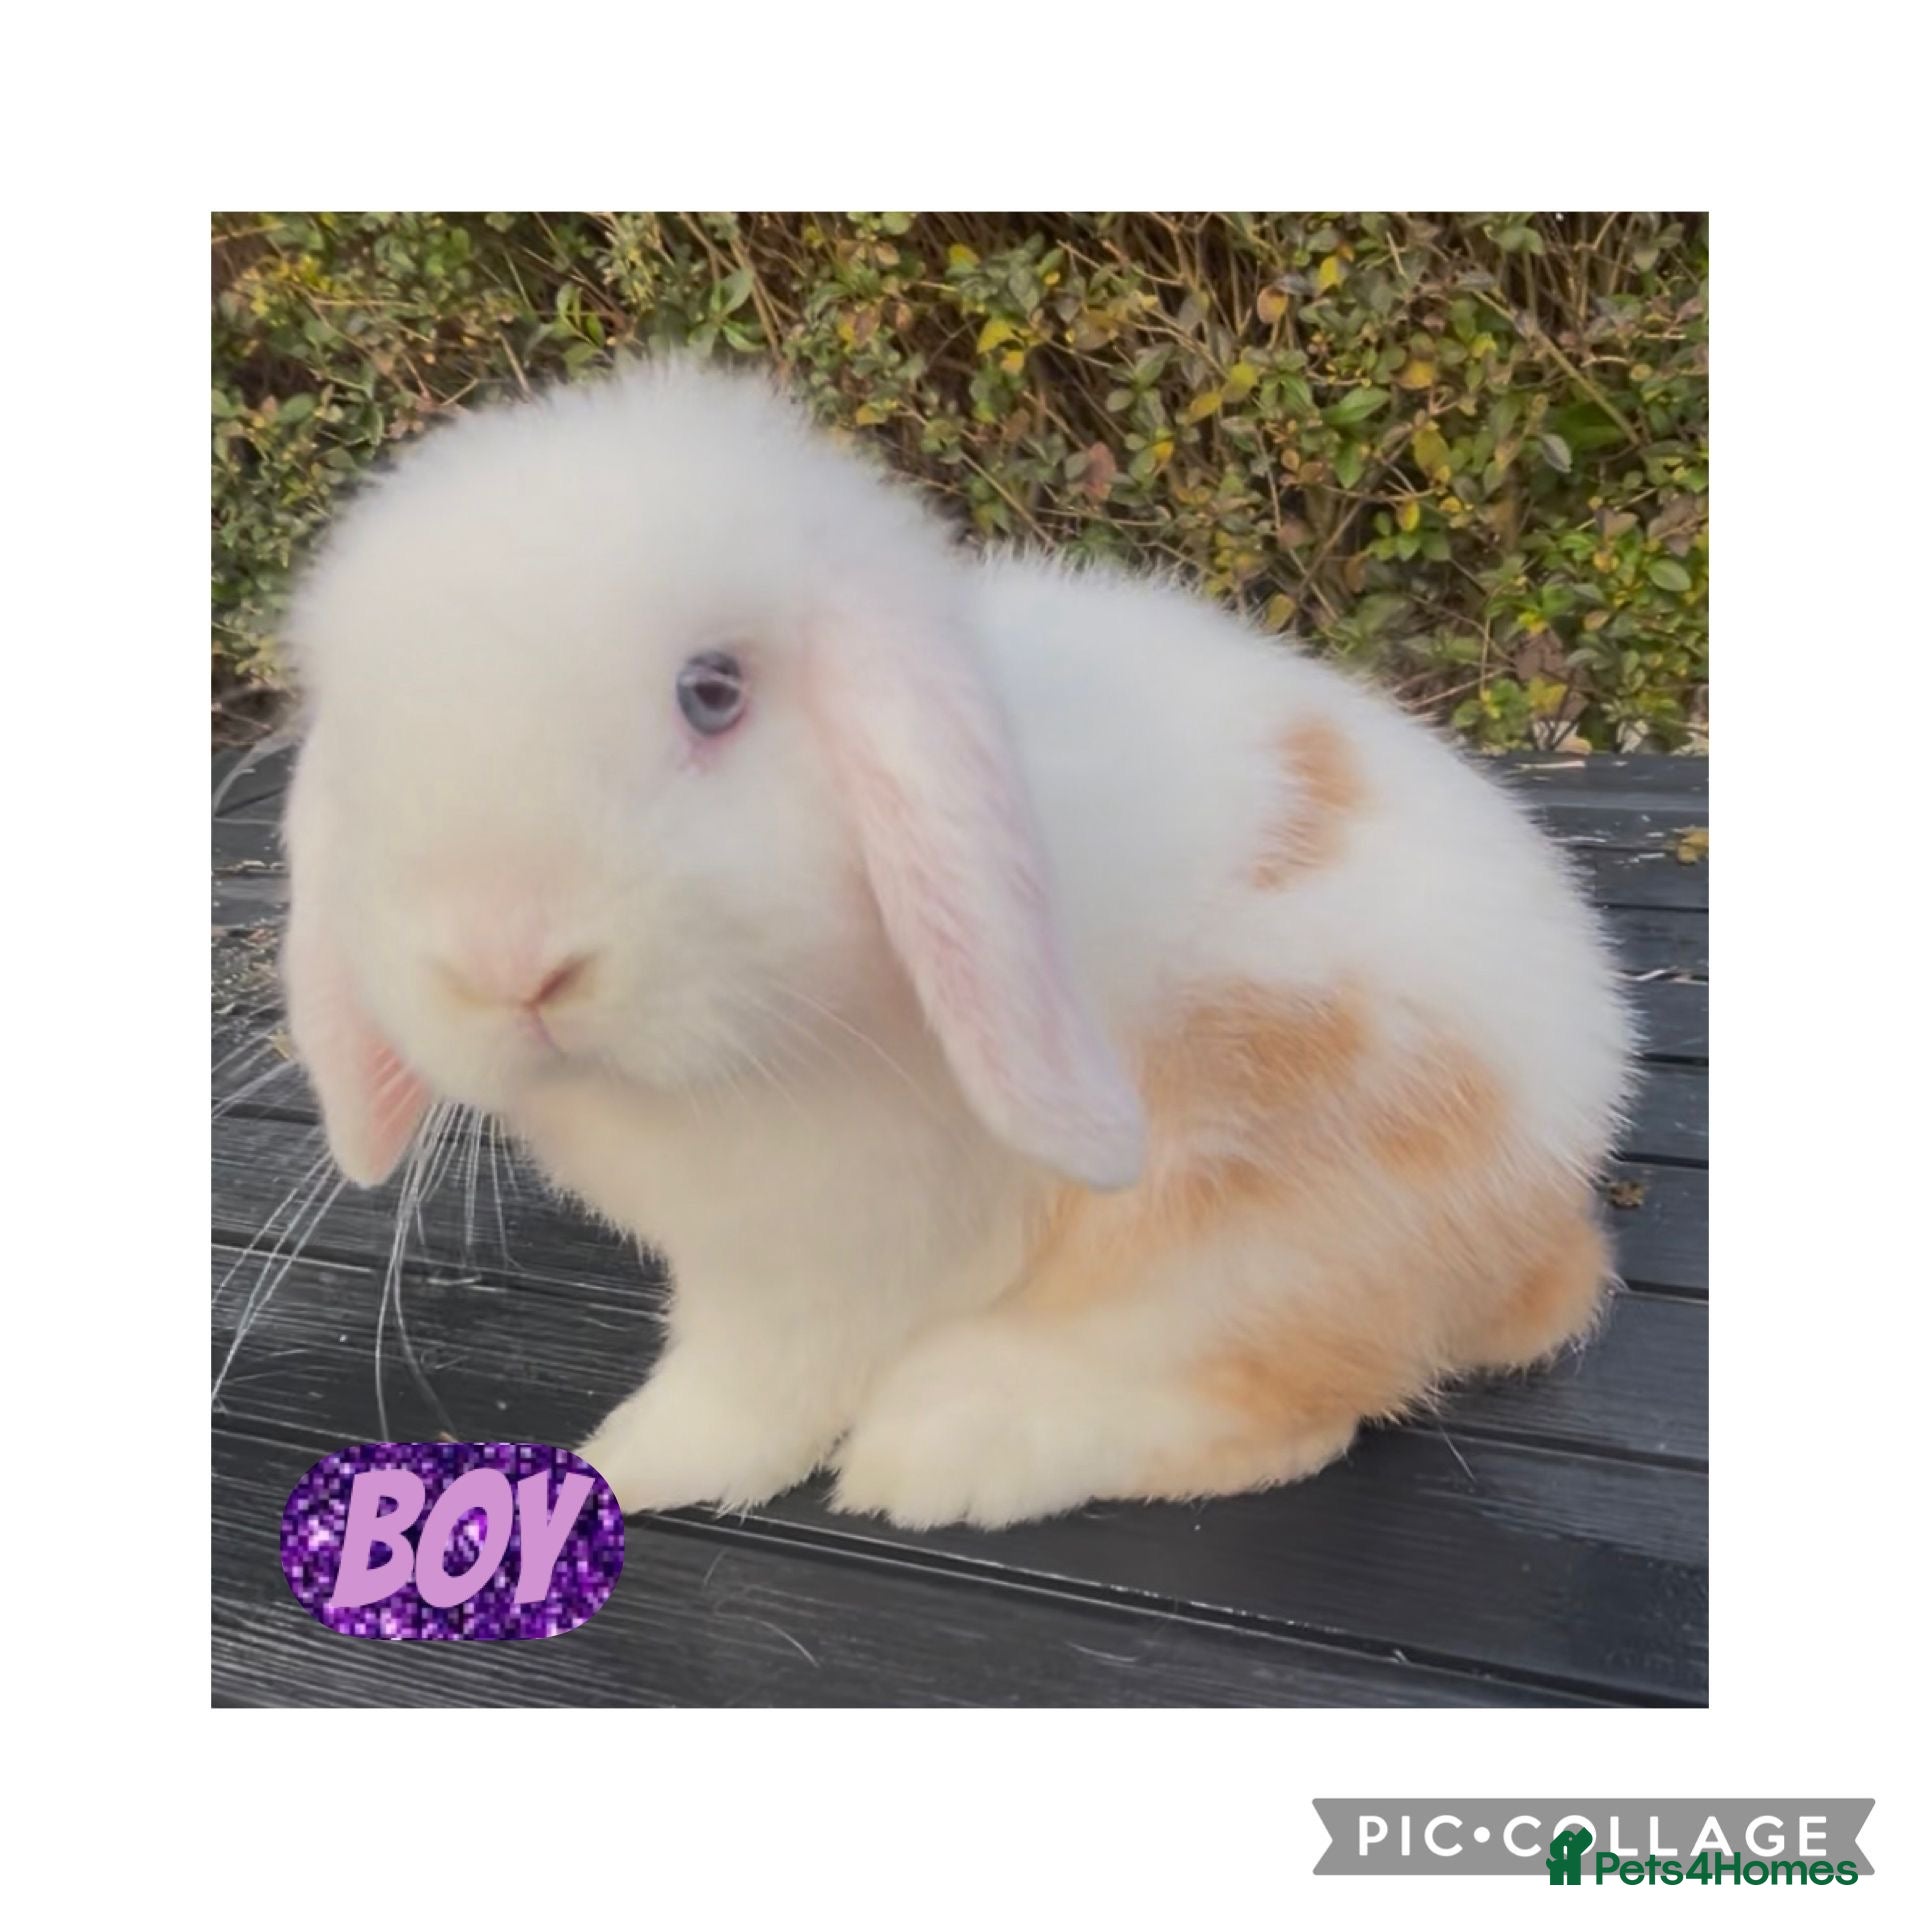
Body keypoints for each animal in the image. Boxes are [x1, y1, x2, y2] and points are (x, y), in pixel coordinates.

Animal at [280, 355, 1632, 1530]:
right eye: (369, 742)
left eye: (712, 692)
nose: (508, 965)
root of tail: (1553, 1215)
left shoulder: (833, 1253)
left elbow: (758, 1386)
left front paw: (647, 1464)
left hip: (1265, 1219)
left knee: (1280, 1398)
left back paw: (951, 1448)